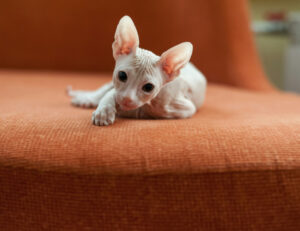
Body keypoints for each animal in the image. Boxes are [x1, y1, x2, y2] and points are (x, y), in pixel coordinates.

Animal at [67, 15, 206, 126]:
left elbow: (152, 110)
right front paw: (104, 110)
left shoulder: (184, 108)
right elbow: (111, 93)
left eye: (148, 87)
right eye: (122, 76)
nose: (126, 99)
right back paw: (87, 99)